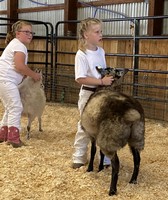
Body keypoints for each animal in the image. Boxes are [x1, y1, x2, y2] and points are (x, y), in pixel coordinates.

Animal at [80, 68, 145, 196]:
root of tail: (131, 111)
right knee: (137, 159)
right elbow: (100, 153)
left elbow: (93, 151)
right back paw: (133, 180)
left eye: (107, 69)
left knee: (116, 164)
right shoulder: (100, 135)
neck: (107, 87)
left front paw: (90, 169)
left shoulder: (93, 134)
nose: (98, 67)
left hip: (110, 139)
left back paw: (112, 190)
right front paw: (100, 168)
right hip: (136, 137)